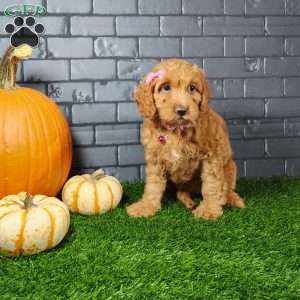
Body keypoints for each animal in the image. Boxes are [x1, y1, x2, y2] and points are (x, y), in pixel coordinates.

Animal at [125, 59, 245, 220]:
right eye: (166, 87)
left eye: (192, 88)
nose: (182, 111)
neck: (176, 130)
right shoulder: (156, 158)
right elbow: (153, 185)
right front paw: (146, 206)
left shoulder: (211, 156)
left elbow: (212, 184)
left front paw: (209, 209)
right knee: (179, 191)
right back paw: (186, 200)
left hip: (230, 167)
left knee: (227, 187)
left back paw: (232, 199)